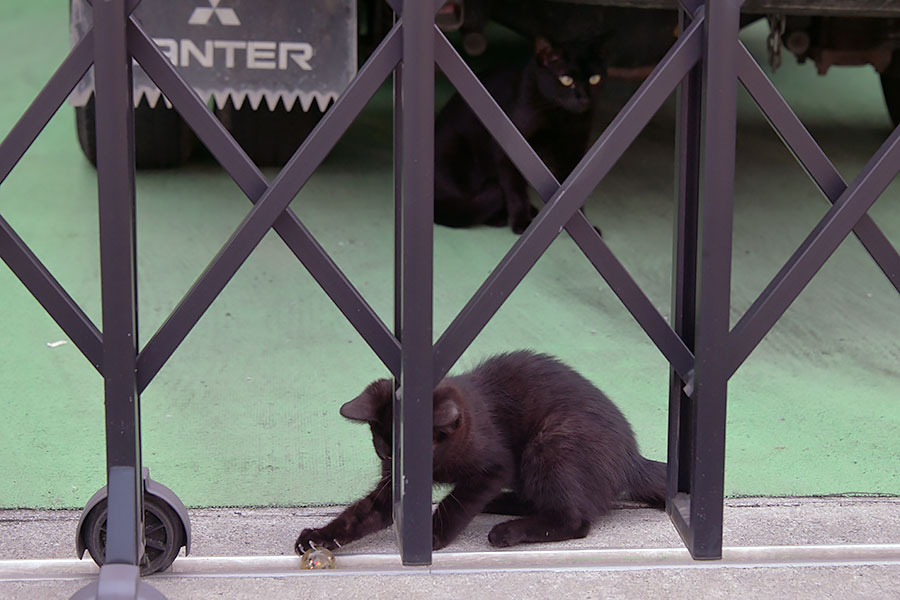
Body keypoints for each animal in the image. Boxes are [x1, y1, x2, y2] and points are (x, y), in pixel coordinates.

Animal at [294, 352, 660, 552]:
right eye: (385, 455)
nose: (393, 473)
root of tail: (633, 459)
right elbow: (362, 513)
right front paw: (319, 538)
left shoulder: (495, 465)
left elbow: (456, 501)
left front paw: (431, 534)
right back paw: (501, 503)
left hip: (550, 445)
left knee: (574, 518)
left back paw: (507, 530)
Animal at [434, 35, 608, 232]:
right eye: (566, 79)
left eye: (594, 79)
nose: (584, 98)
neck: (562, 118)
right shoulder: (510, 151)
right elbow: (515, 189)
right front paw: (522, 223)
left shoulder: (573, 152)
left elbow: (575, 192)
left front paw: (581, 225)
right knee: (467, 205)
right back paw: (500, 216)